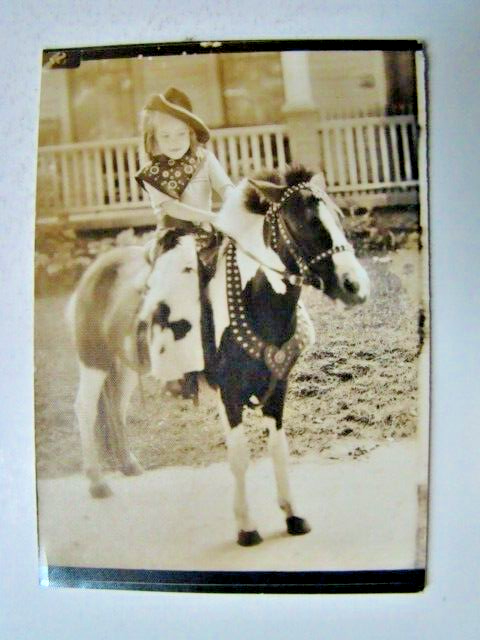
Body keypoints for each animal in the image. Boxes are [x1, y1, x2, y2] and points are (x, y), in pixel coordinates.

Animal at [68, 166, 370, 546]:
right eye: (305, 223)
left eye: (339, 217)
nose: (355, 286)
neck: (253, 300)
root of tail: (98, 267)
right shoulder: (229, 393)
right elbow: (239, 457)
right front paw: (247, 528)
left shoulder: (278, 388)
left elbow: (280, 450)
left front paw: (293, 515)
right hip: (93, 362)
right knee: (85, 408)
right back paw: (97, 481)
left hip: (122, 367)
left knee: (114, 408)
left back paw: (129, 464)